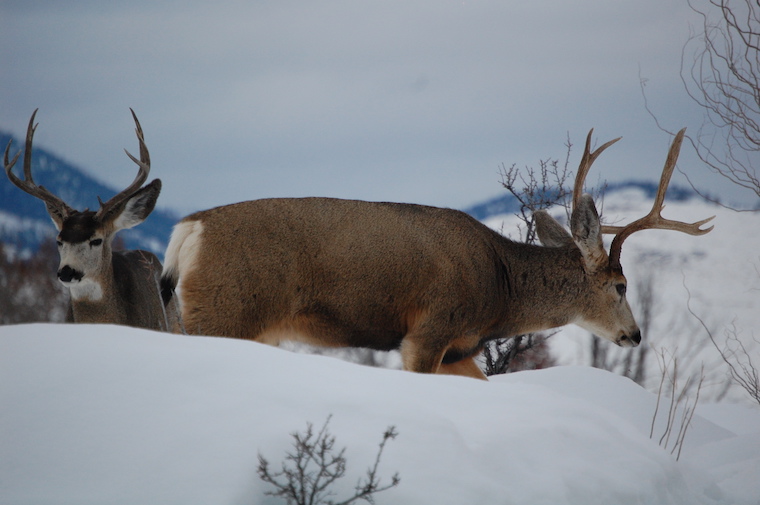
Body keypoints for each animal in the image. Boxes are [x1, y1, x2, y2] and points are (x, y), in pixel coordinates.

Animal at [160, 128, 713, 379]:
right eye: (620, 285)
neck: (498, 286)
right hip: (226, 309)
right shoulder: (429, 329)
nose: (634, 334)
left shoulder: (461, 348)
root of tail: (189, 230)